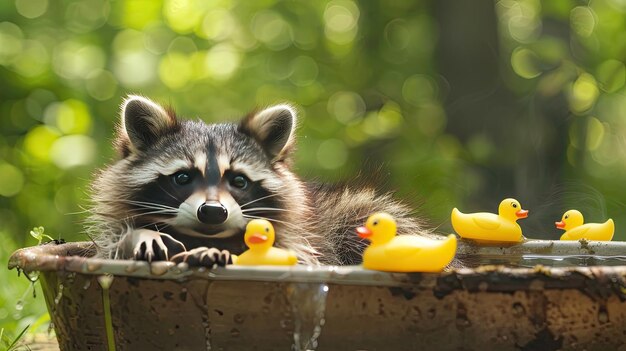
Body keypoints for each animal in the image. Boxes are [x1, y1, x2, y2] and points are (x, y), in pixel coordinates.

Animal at [88, 96, 428, 266]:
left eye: (239, 181)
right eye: (182, 177)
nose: (213, 212)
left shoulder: (305, 243)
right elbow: (110, 248)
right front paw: (139, 236)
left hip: (353, 213)